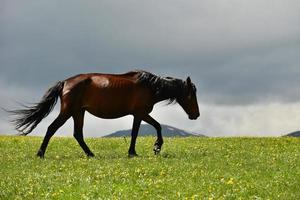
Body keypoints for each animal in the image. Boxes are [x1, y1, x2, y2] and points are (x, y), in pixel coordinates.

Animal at [9, 70, 200, 158]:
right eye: (191, 94)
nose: (196, 115)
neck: (150, 87)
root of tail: (65, 83)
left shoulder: (139, 114)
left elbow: (147, 129)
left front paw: (145, 149)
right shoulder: (140, 113)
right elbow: (144, 130)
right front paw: (153, 148)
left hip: (78, 112)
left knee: (78, 134)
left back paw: (90, 154)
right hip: (68, 111)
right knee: (51, 129)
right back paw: (40, 154)